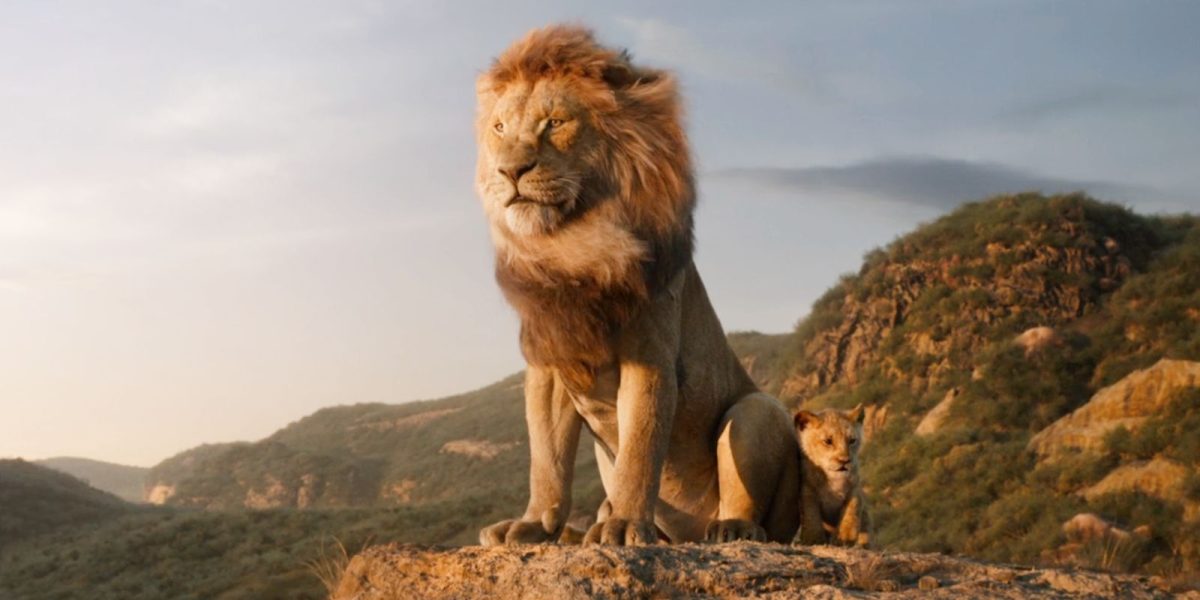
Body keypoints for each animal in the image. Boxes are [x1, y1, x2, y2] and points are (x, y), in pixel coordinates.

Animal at [474, 25, 800, 546]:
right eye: (500, 128)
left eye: (554, 122)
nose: (510, 170)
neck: (572, 247)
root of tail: (686, 534)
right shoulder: (548, 363)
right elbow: (547, 459)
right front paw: (533, 523)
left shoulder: (649, 356)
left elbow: (640, 449)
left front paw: (626, 525)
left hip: (758, 410)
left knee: (750, 498)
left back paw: (729, 528)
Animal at [793, 405, 871, 547]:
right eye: (828, 441)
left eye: (852, 441)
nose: (844, 461)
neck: (833, 477)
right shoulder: (807, 490)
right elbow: (811, 515)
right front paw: (813, 539)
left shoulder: (854, 488)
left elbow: (851, 511)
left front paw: (844, 538)